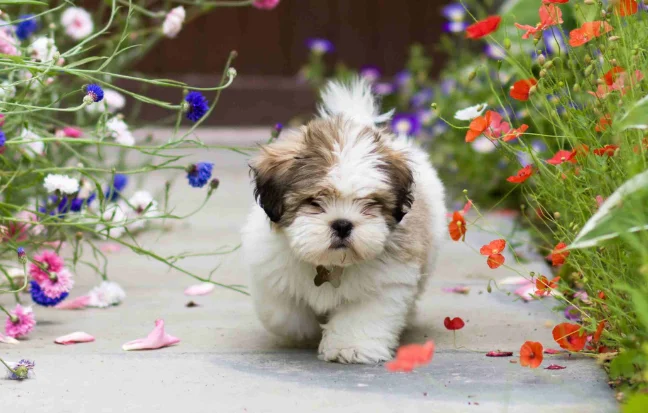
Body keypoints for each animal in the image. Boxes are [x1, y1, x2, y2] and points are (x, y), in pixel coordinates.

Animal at [240, 78, 448, 364]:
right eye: (315, 201)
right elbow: (284, 313)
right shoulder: (270, 271)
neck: (330, 264)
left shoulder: (386, 281)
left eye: (370, 203)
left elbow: (364, 315)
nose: (342, 224)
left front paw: (350, 347)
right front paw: (305, 332)